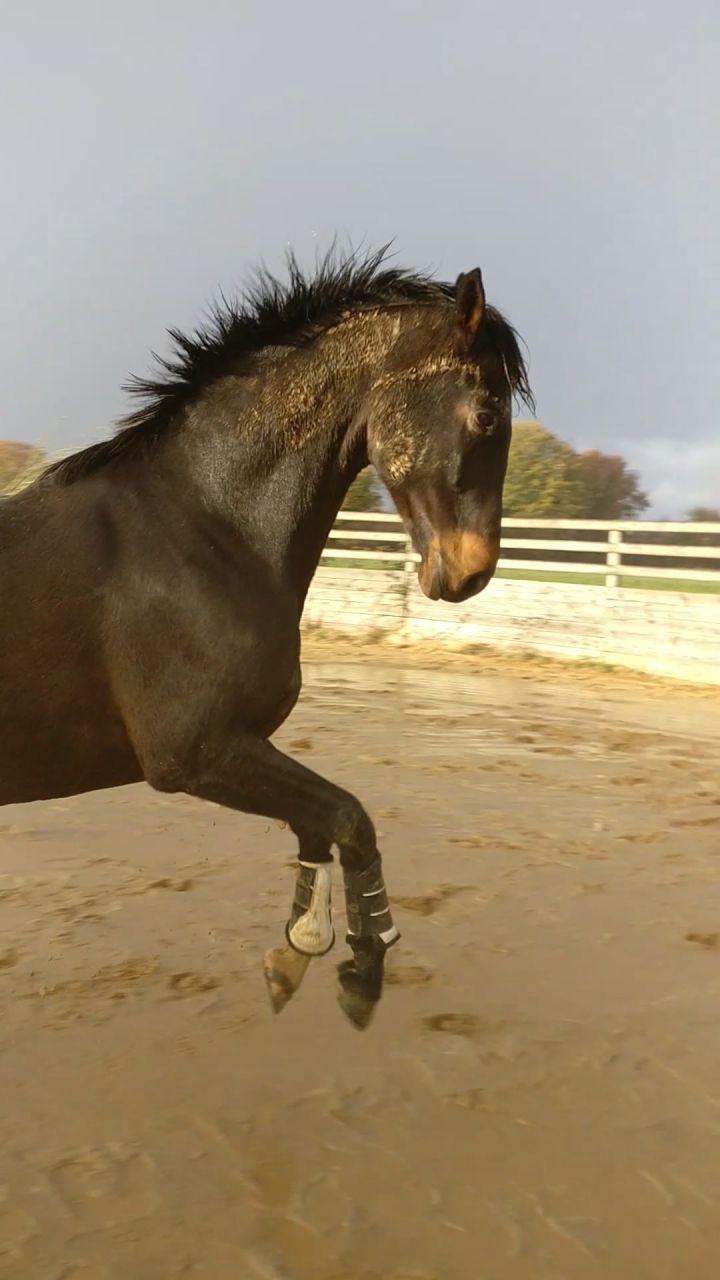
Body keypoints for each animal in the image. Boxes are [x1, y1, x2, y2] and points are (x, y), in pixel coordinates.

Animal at [0, 246, 533, 1028]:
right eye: (488, 412)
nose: (470, 572)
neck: (202, 526)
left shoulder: (240, 746)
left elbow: (320, 824)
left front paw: (296, 953)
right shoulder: (195, 753)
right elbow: (348, 816)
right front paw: (360, 969)